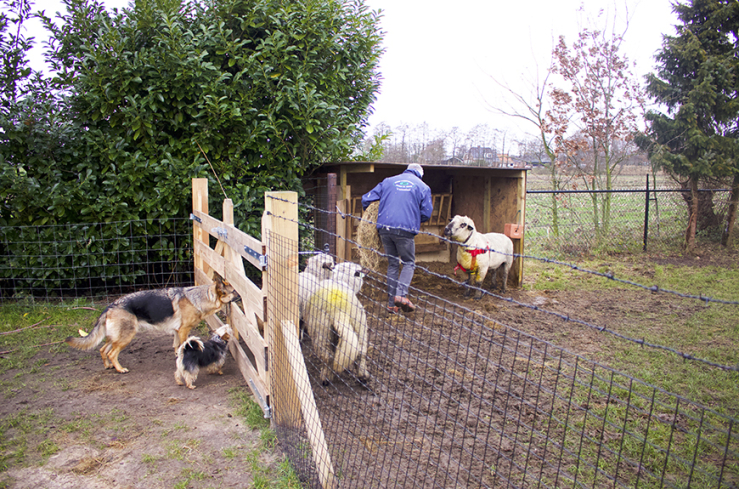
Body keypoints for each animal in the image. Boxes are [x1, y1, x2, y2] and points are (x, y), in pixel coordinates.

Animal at [65, 274, 240, 374]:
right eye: (234, 292)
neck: (200, 298)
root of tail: (111, 306)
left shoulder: (176, 331)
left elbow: (177, 347)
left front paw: (179, 358)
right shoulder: (183, 330)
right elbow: (184, 345)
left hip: (115, 337)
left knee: (102, 350)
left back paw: (108, 366)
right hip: (126, 337)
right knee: (111, 353)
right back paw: (120, 369)